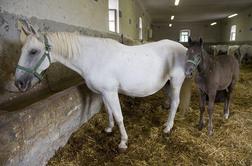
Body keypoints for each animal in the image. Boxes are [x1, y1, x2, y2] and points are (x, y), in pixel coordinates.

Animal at [15, 19, 191, 149]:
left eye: (33, 51)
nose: (19, 83)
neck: (94, 58)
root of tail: (183, 48)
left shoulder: (111, 92)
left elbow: (119, 116)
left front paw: (123, 142)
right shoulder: (104, 93)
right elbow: (109, 111)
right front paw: (109, 128)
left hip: (176, 82)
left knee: (176, 102)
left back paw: (167, 127)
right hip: (167, 84)